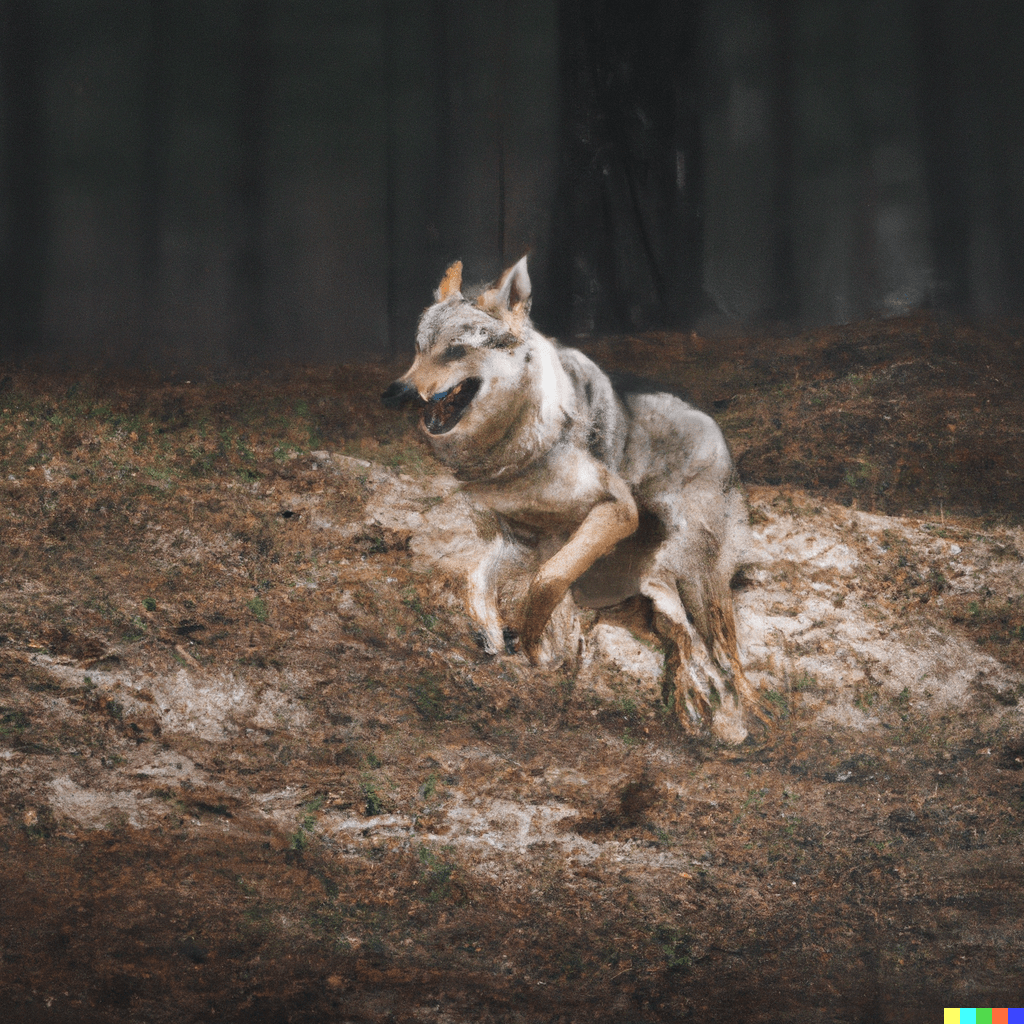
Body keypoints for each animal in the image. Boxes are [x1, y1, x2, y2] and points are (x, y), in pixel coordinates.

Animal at [385, 253, 770, 737]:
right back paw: (687, 706)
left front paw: (532, 646)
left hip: (685, 584)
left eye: (455, 351)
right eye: (419, 349)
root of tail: (717, 432)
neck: (519, 453)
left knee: (724, 657)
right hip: (643, 606)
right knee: (683, 648)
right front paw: (501, 640)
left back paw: (746, 717)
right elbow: (478, 582)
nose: (394, 392)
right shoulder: (519, 541)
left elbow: (547, 581)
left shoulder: (614, 515)